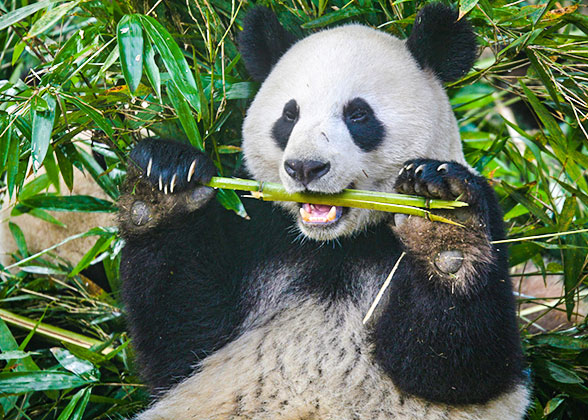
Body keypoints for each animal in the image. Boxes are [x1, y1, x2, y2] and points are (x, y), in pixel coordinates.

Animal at [117, 4, 532, 420]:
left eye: (358, 115)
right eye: (289, 115)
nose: (304, 167)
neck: (337, 245)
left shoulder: (488, 223)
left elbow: (456, 368)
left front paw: (443, 229)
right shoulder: (259, 233)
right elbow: (181, 338)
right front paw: (164, 182)